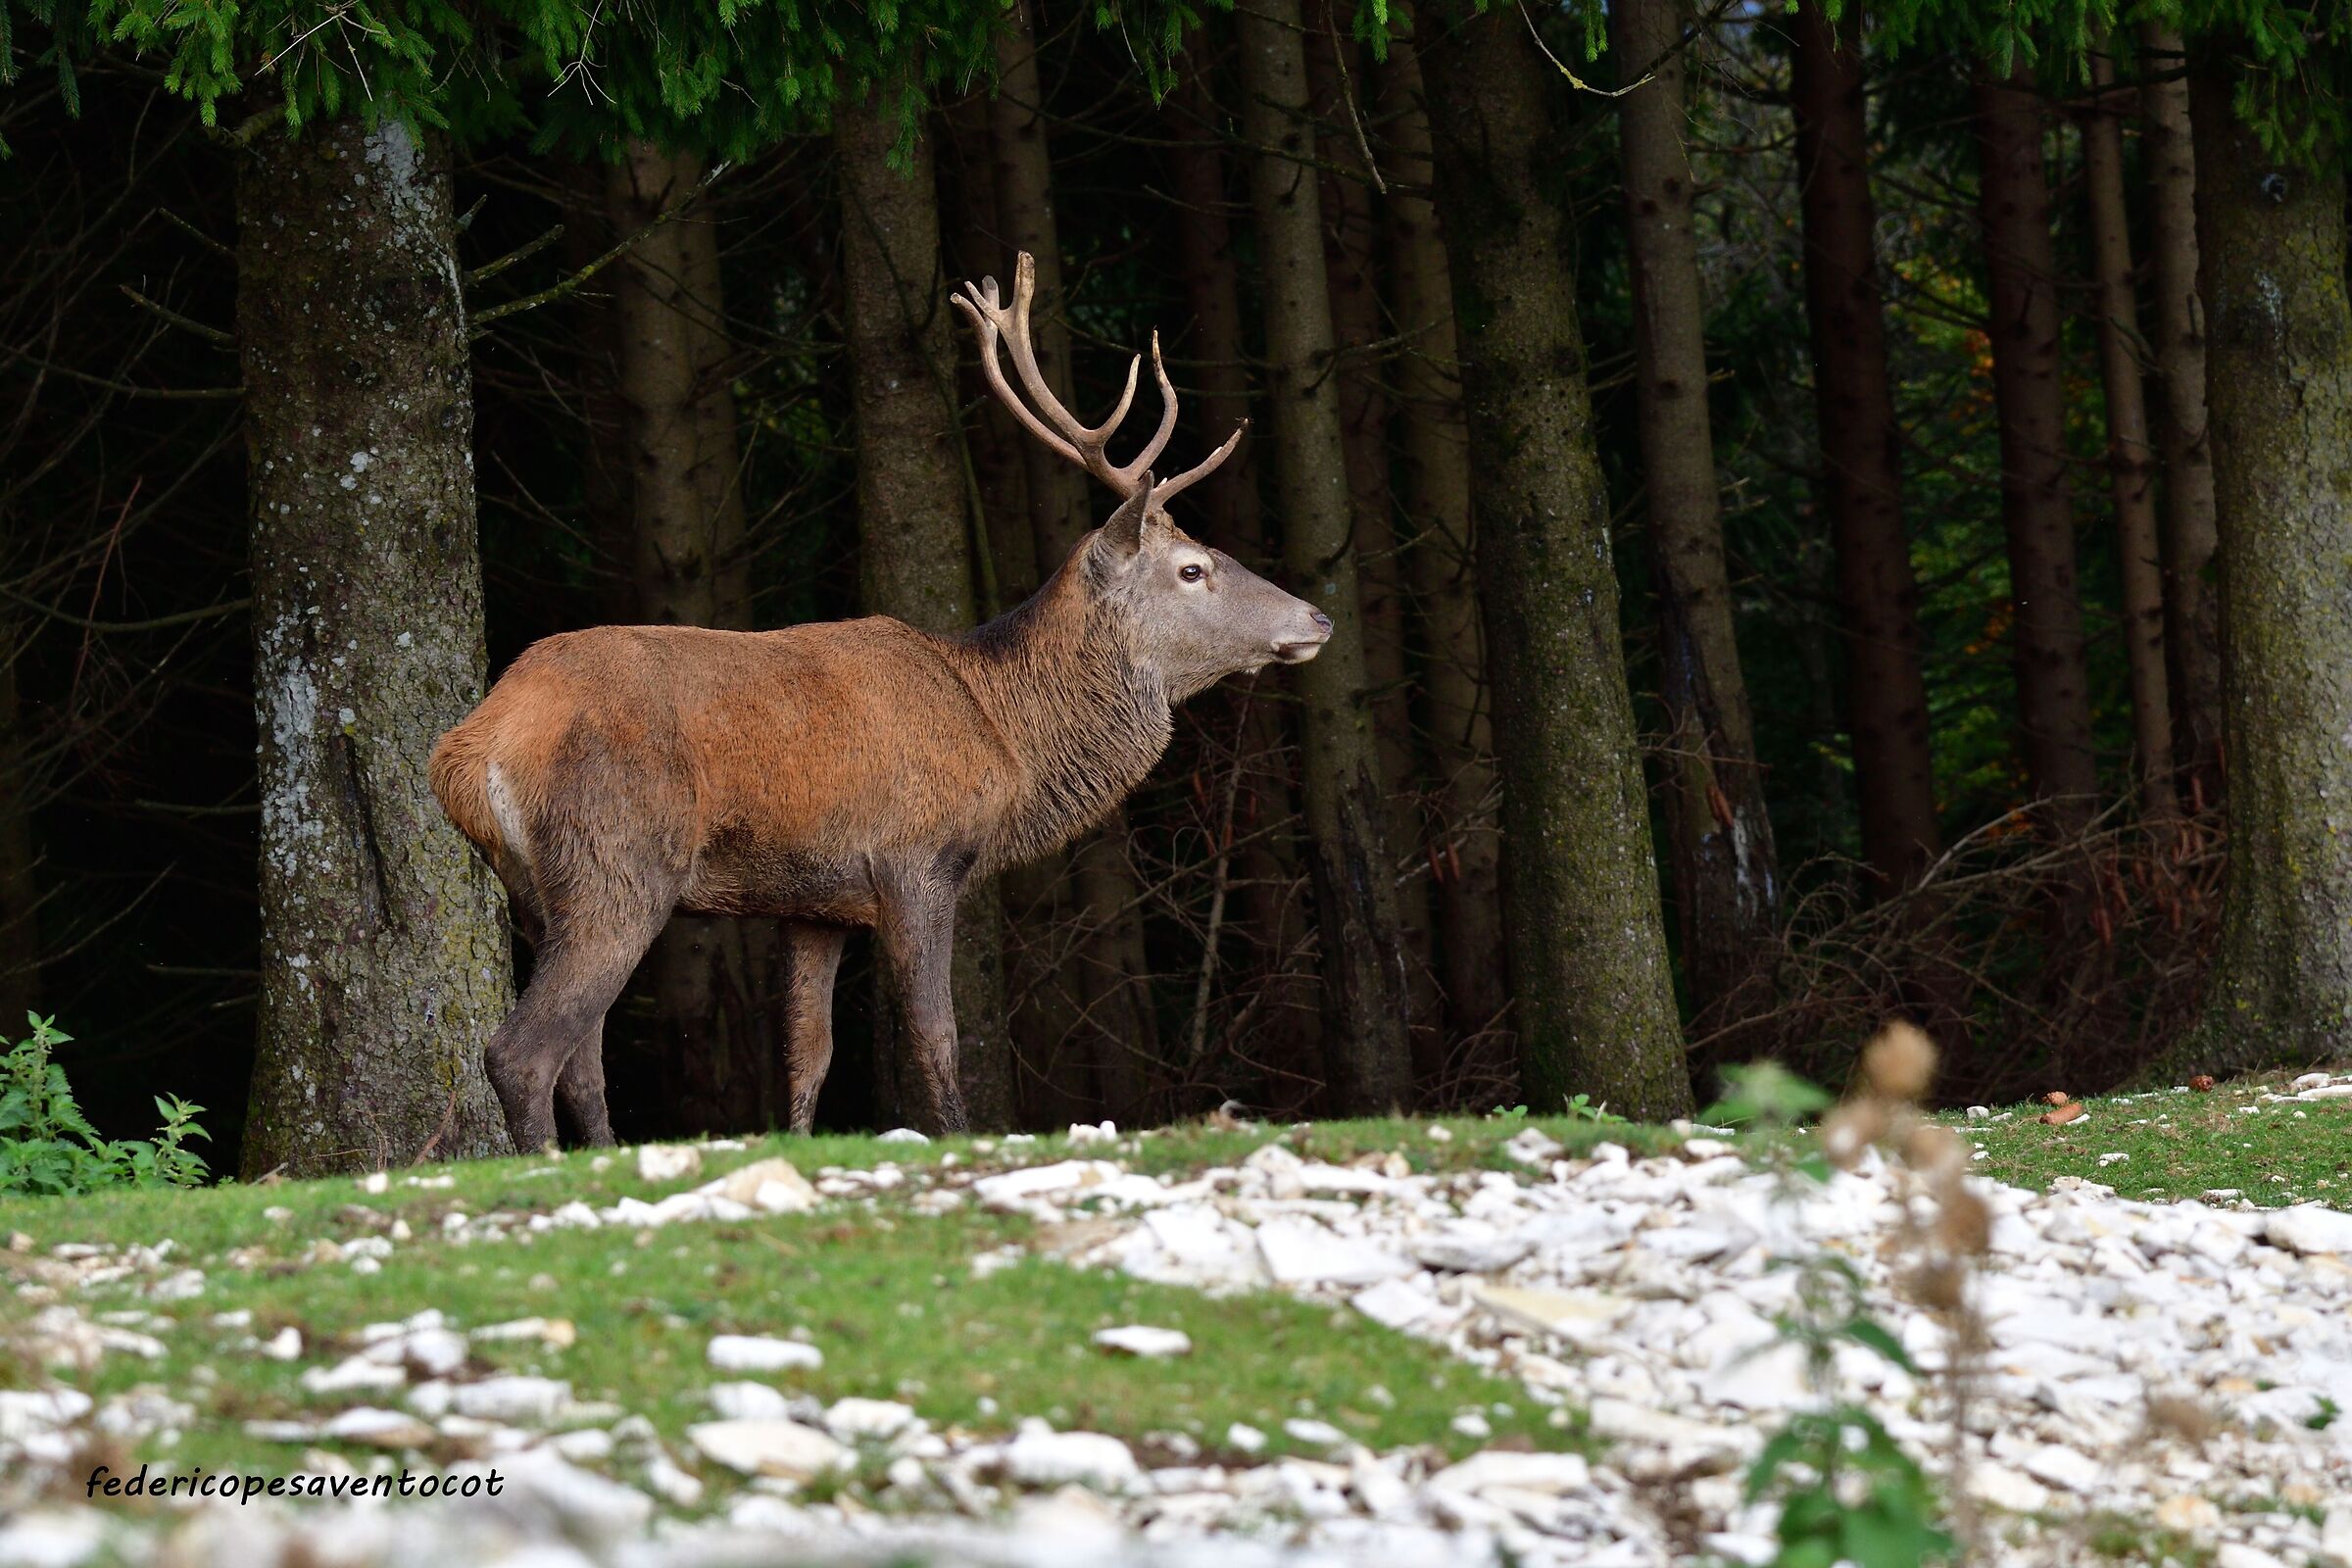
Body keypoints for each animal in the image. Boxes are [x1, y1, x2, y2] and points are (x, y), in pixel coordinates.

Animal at [429, 253, 1332, 1152]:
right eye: (1191, 568)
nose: (1318, 618)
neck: (1003, 729)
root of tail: (472, 751)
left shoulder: (813, 902)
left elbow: (810, 1054)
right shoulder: (916, 856)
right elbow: (937, 1036)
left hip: (540, 888)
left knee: (582, 1060)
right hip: (617, 856)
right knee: (523, 1051)